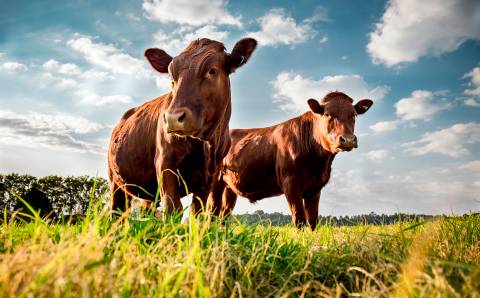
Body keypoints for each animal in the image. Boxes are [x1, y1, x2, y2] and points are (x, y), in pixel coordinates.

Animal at [108, 38, 256, 215]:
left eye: (212, 71)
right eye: (172, 76)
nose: (172, 118)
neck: (206, 144)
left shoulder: (211, 176)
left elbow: (197, 211)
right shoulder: (165, 164)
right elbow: (173, 208)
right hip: (116, 181)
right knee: (116, 211)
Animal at [212, 92, 374, 229]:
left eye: (354, 115)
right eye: (328, 114)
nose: (348, 139)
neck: (319, 164)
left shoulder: (315, 188)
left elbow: (313, 221)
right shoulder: (290, 185)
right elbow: (299, 220)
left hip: (230, 187)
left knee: (223, 215)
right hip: (215, 182)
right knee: (212, 212)